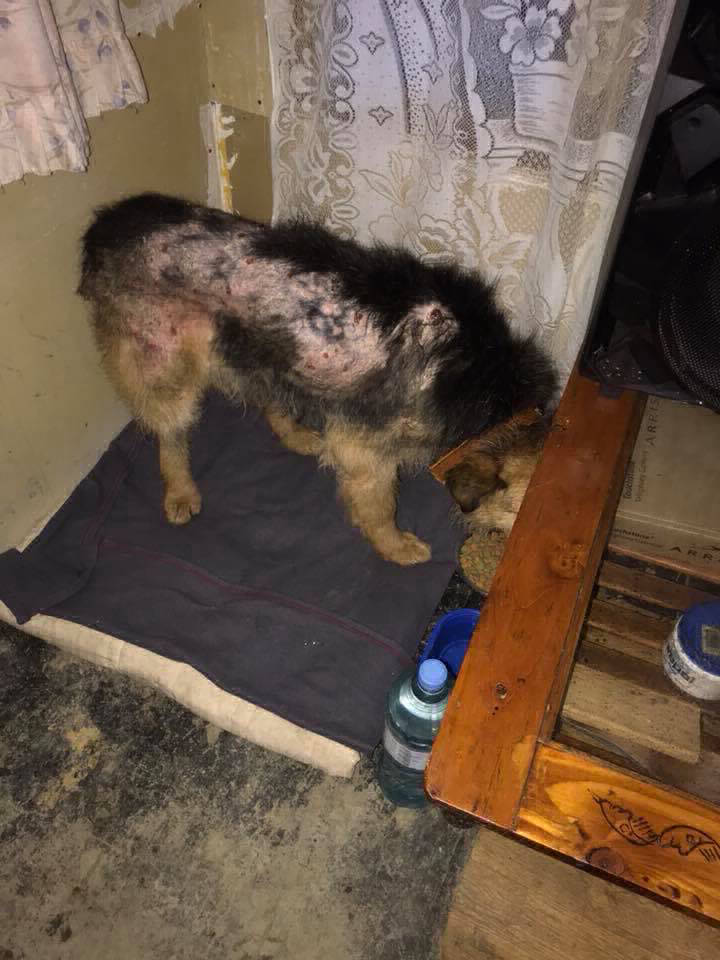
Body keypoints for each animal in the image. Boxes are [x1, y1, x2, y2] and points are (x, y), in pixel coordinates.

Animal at [78, 193, 556, 565]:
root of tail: (106, 223)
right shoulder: (367, 451)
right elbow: (380, 509)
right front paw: (396, 548)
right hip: (163, 363)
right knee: (170, 432)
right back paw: (180, 491)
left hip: (262, 350)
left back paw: (298, 434)